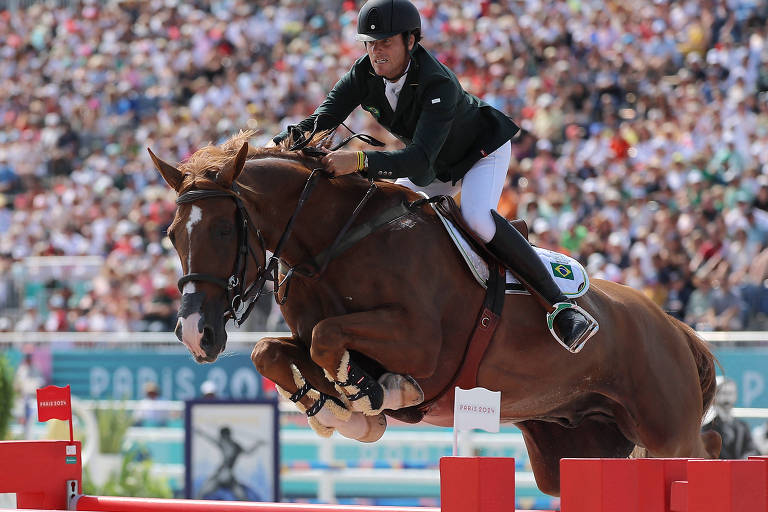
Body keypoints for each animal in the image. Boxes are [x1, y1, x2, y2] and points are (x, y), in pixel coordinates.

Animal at [148, 132, 720, 496]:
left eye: (225, 230)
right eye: (173, 235)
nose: (195, 334)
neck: (333, 242)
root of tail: (675, 327)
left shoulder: (421, 342)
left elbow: (330, 339)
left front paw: (373, 397)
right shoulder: (310, 335)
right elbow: (275, 351)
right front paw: (341, 411)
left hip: (668, 436)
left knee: (703, 454)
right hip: (577, 451)